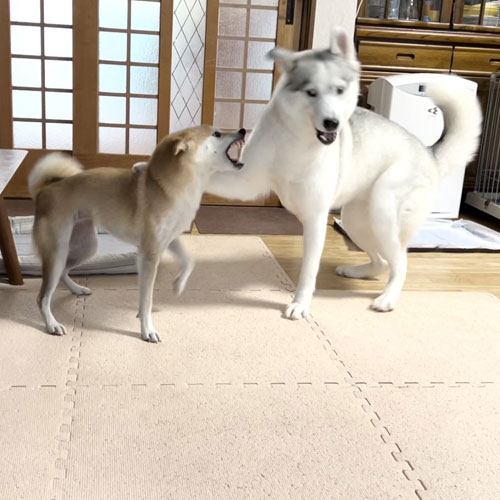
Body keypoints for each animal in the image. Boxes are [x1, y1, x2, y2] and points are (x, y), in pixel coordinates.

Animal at [29, 125, 246, 342]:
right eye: (216, 134)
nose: (243, 130)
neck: (171, 187)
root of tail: (44, 190)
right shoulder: (150, 254)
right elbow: (147, 299)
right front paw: (147, 330)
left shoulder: (169, 239)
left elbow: (188, 261)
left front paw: (178, 285)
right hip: (58, 251)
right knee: (42, 297)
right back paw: (52, 324)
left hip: (86, 247)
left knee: (64, 272)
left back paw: (77, 288)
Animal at [205, 27, 482, 318]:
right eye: (311, 92)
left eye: (339, 90)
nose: (332, 123)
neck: (298, 139)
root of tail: (429, 153)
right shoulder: (245, 181)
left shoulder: (315, 219)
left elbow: (308, 271)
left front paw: (300, 303)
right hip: (356, 220)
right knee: (383, 262)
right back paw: (356, 271)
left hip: (384, 211)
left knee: (401, 263)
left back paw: (388, 298)